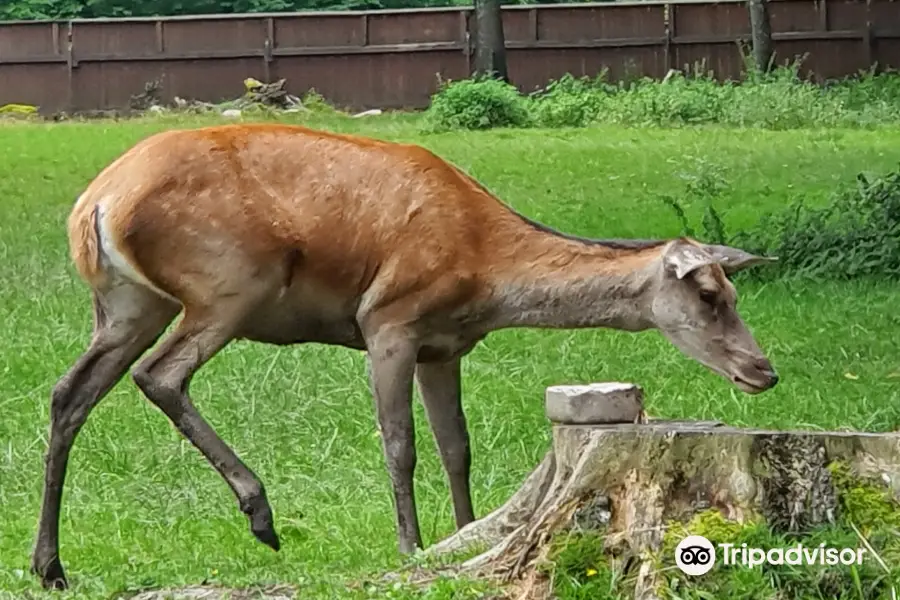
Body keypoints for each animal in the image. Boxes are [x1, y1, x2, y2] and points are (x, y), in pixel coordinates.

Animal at [31, 122, 776, 592]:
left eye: (735, 289)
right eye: (709, 293)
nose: (763, 371)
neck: (485, 272)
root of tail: (94, 204)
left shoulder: (444, 346)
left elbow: (457, 446)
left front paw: (465, 534)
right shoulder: (388, 319)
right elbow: (400, 443)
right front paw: (411, 545)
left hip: (129, 303)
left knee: (70, 392)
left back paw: (50, 565)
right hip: (229, 283)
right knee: (159, 375)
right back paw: (261, 513)